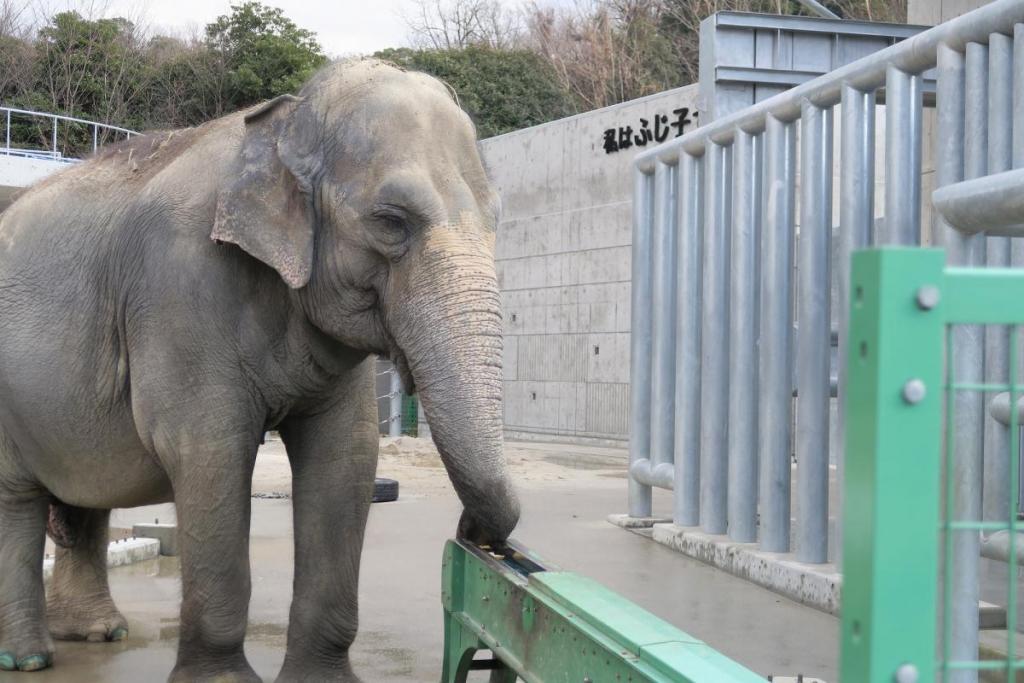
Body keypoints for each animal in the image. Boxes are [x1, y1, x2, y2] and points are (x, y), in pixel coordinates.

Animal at [0, 60, 520, 683]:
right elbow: (210, 453)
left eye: (497, 219)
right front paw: (222, 681)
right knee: (15, 499)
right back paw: (27, 657)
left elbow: (345, 458)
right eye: (391, 222)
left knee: (80, 492)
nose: (473, 534)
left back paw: (100, 635)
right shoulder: (180, 290)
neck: (282, 122)